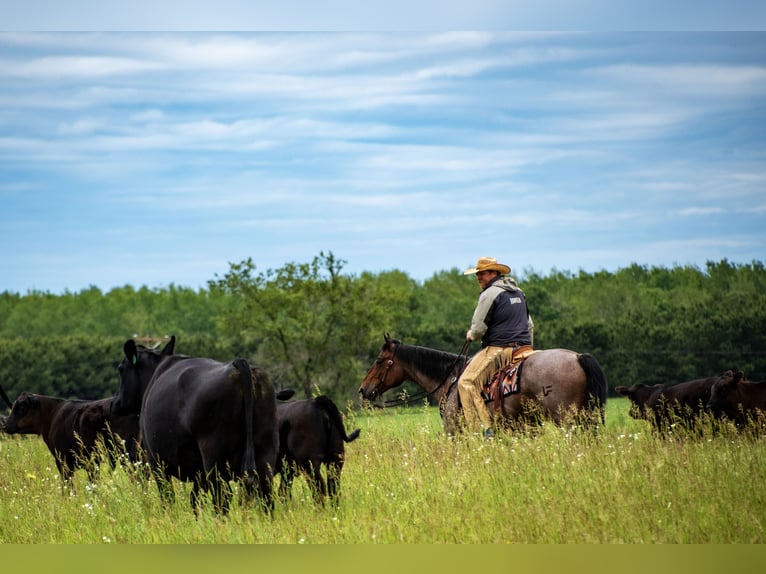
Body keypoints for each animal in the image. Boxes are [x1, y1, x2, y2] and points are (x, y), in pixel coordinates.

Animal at [112, 336, 280, 516]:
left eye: (121, 369)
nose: (115, 402)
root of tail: (237, 365)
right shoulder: (199, 472)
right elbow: (194, 499)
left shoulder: (156, 461)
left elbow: (168, 498)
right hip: (265, 451)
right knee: (266, 495)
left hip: (214, 456)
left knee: (222, 496)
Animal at [356, 332, 608, 436]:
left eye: (379, 360)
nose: (363, 389)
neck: (450, 378)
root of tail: (578, 357)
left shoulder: (455, 431)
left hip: (568, 420)